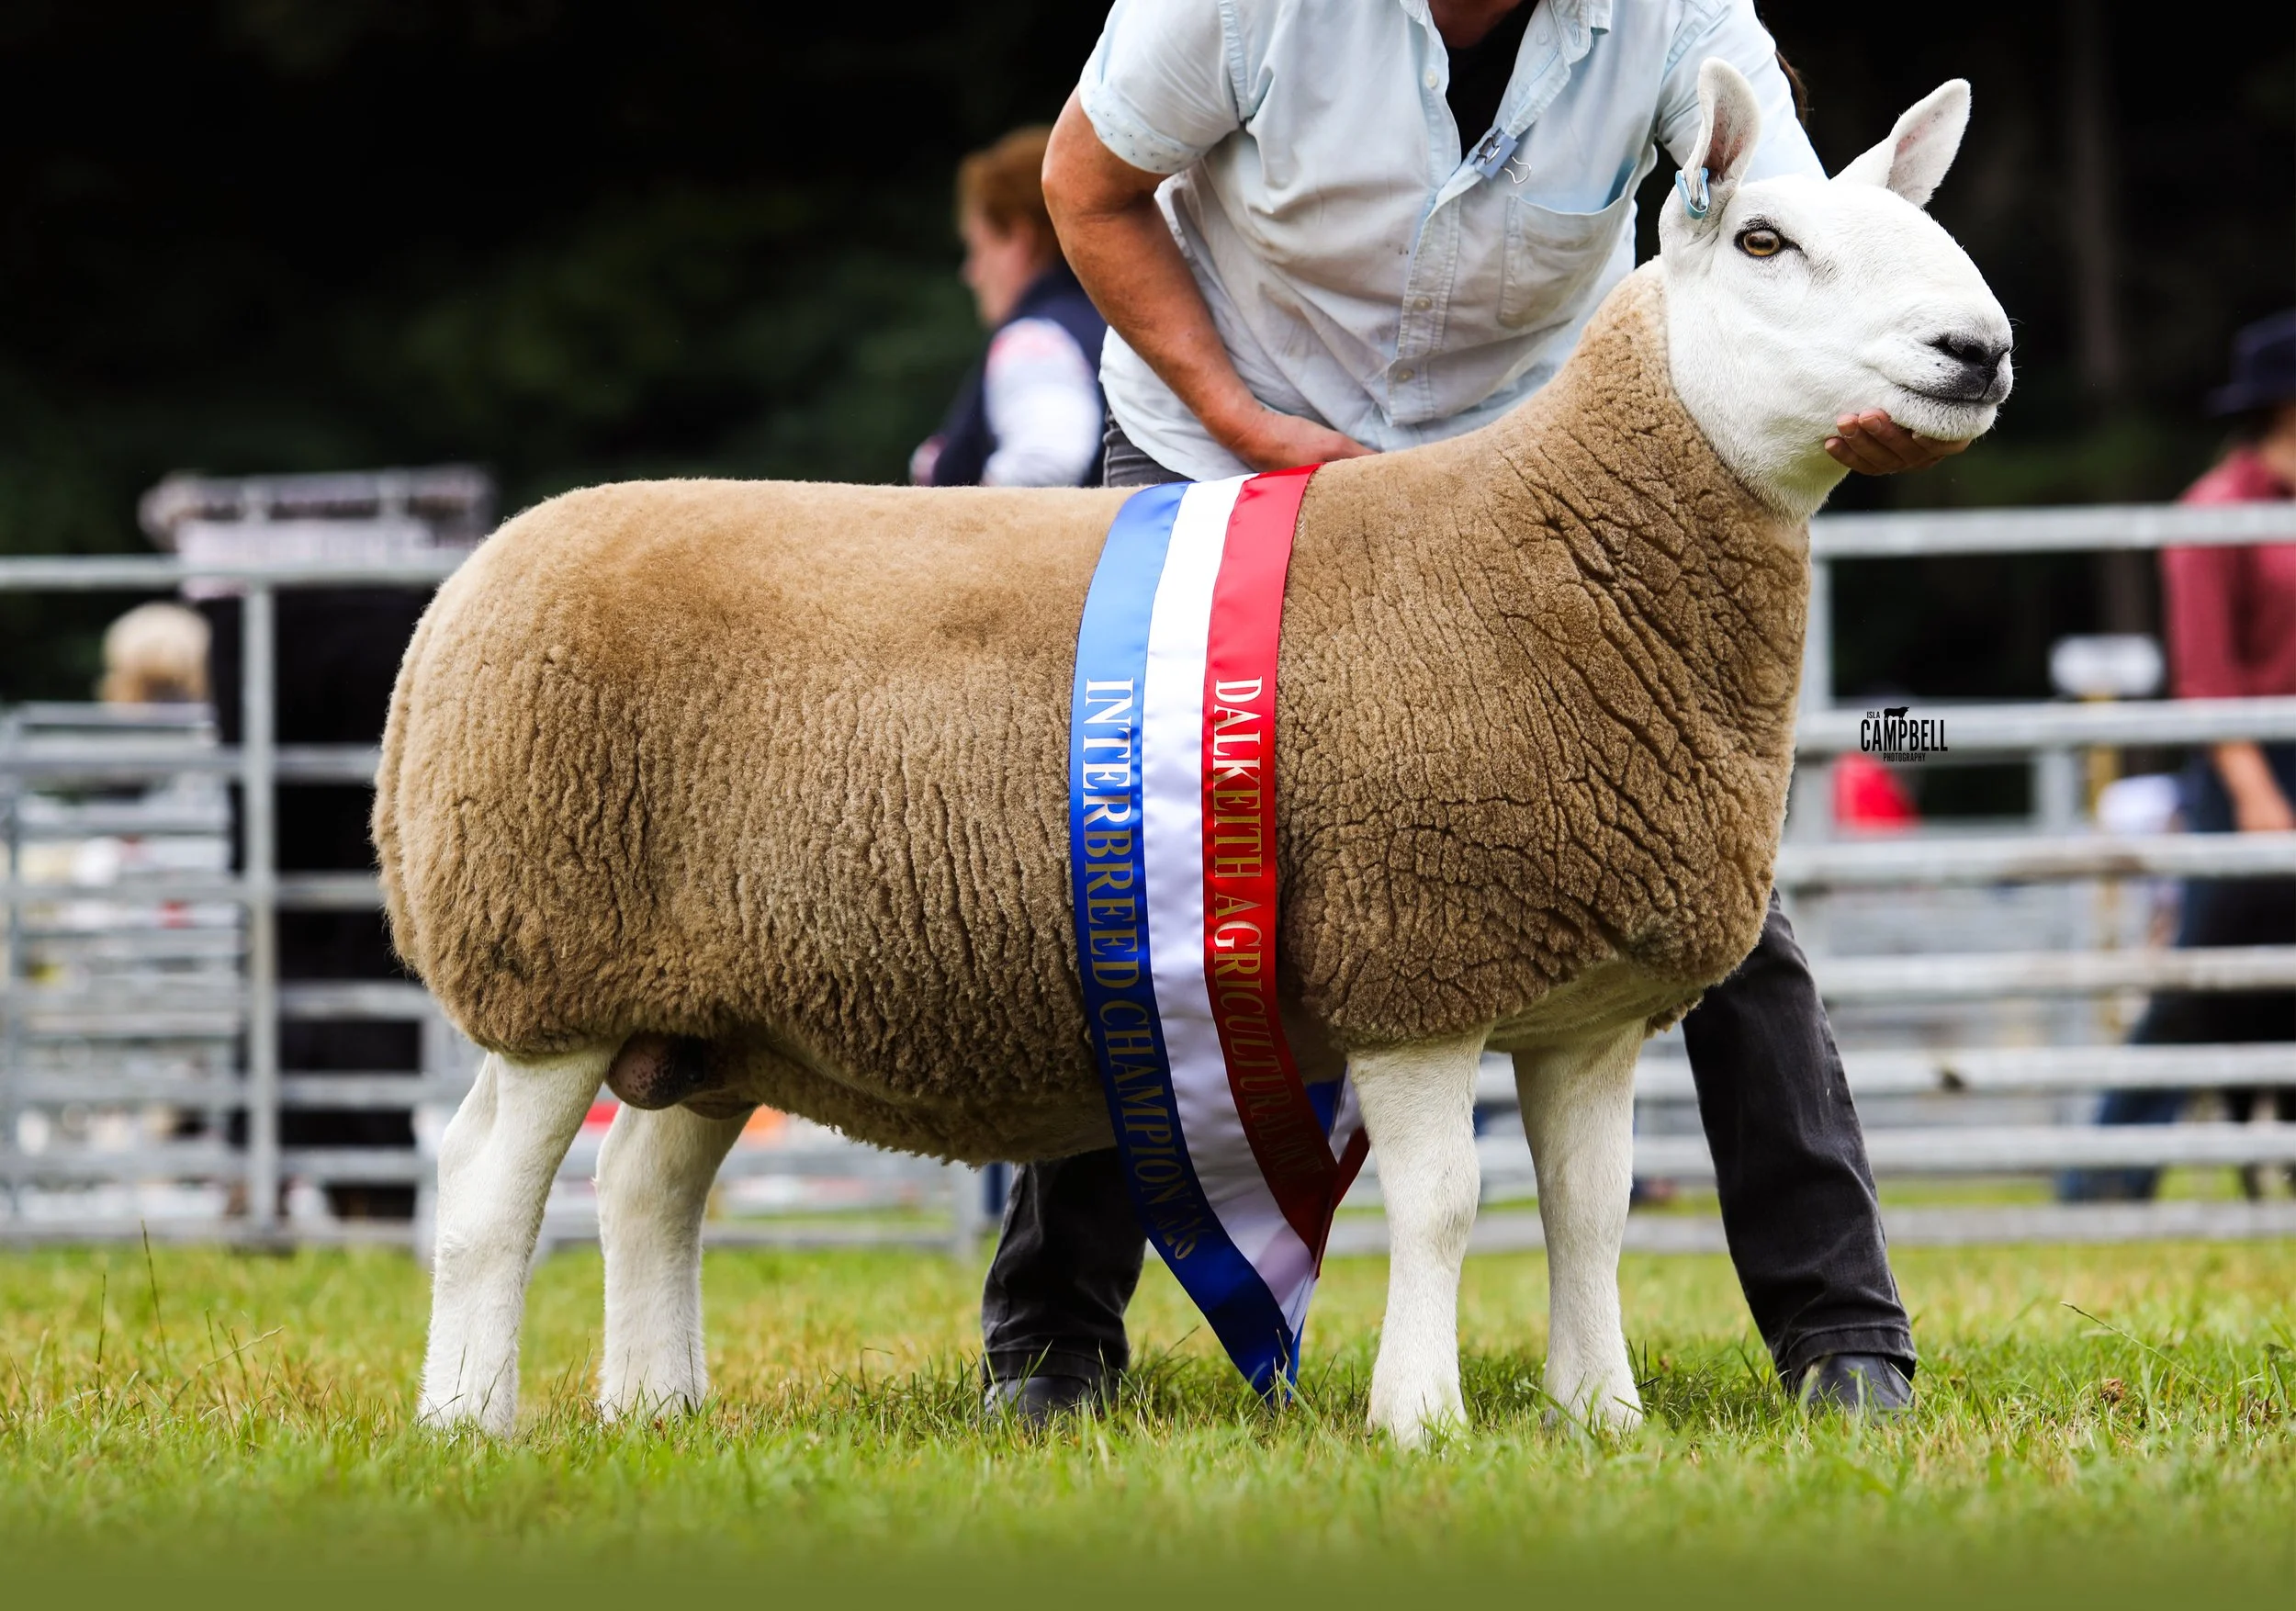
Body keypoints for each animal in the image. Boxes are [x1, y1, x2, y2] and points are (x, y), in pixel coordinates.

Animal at [380, 62, 2010, 1443]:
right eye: (1765, 241)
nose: (1981, 349)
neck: (1556, 539)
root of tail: (470, 584)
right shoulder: (1415, 955)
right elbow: (1444, 1202)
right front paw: (1423, 1421)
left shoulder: (1584, 1004)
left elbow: (1590, 1212)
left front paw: (1600, 1419)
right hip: (545, 947)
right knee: (485, 1185)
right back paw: (468, 1418)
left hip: (711, 999)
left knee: (644, 1183)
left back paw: (658, 1407)